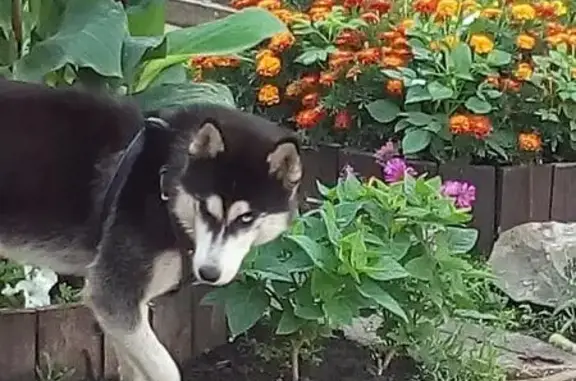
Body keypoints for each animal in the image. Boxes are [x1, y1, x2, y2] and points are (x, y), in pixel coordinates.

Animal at [0, 78, 304, 378]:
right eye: (205, 208)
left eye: (247, 218)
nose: (209, 273)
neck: (165, 185)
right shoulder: (113, 297)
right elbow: (165, 368)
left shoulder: (128, 311)